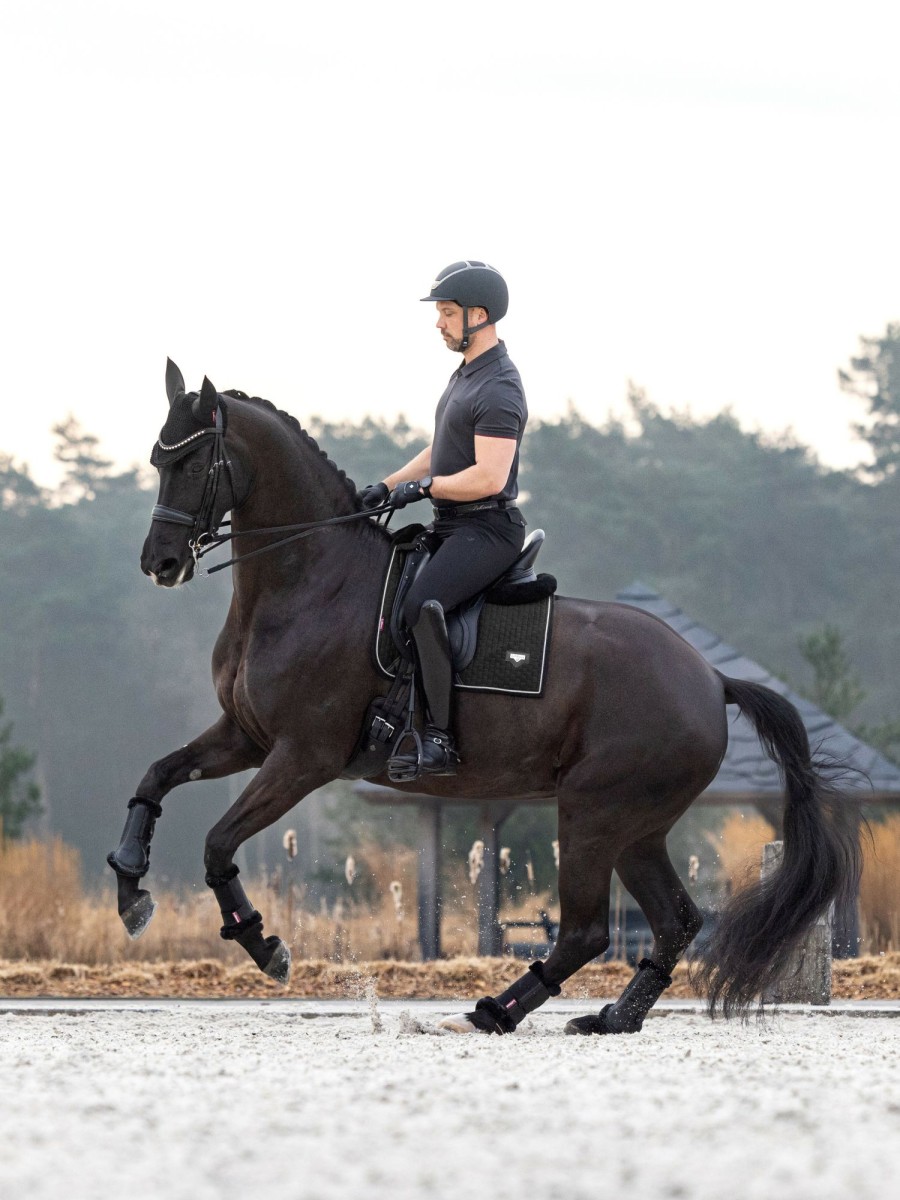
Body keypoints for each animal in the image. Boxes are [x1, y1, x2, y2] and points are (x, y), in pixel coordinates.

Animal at [109, 364, 864, 1032]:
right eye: (156, 459)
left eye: (194, 462)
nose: (159, 564)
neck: (309, 582)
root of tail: (710, 678)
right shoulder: (245, 736)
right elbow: (155, 777)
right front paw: (130, 888)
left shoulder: (304, 756)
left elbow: (217, 841)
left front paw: (264, 945)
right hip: (637, 826)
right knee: (675, 921)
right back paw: (611, 1019)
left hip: (593, 811)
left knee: (587, 931)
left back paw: (496, 1011)